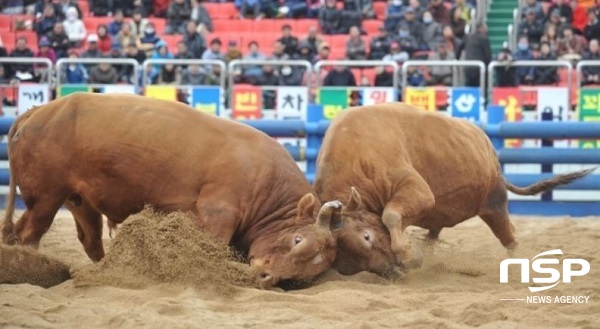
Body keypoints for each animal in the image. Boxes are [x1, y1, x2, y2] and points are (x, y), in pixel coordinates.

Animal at [0, 92, 344, 288]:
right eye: (297, 240)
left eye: (306, 272)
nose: (266, 278)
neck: (264, 180)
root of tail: (37, 112)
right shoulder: (218, 212)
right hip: (45, 197)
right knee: (28, 232)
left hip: (79, 200)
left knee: (90, 239)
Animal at [314, 103, 596, 276]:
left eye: (367, 237)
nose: (392, 272)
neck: (355, 155)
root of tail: (491, 154)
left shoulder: (416, 191)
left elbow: (391, 216)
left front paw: (409, 254)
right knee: (434, 234)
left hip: (495, 206)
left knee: (510, 238)